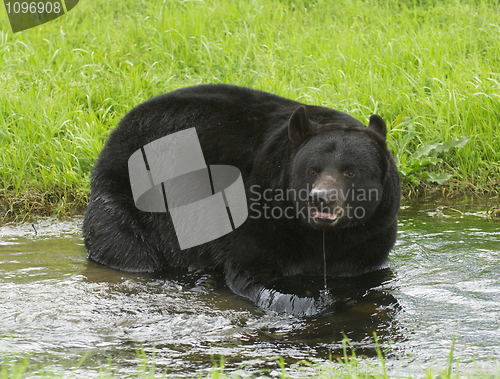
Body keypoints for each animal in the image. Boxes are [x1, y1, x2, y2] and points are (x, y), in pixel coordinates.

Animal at [83, 84, 402, 316]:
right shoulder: (254, 212)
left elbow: (366, 272)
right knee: (130, 249)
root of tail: (114, 133)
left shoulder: (370, 234)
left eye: (350, 171)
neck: (316, 234)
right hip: (127, 200)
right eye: (313, 169)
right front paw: (309, 302)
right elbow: (250, 270)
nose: (321, 199)